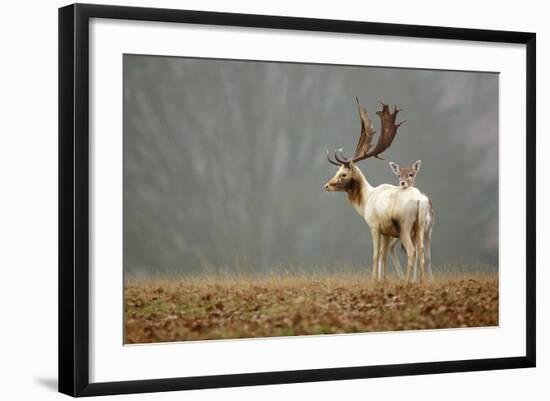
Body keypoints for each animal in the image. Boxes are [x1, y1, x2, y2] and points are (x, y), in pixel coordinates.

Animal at [326, 97, 434, 282]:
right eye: (337, 171)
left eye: (343, 174)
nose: (326, 185)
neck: (366, 201)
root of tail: (421, 200)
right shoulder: (386, 231)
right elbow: (383, 255)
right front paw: (382, 280)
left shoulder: (374, 226)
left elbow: (376, 255)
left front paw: (374, 280)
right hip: (420, 228)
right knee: (421, 253)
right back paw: (420, 281)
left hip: (405, 226)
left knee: (412, 251)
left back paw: (407, 282)